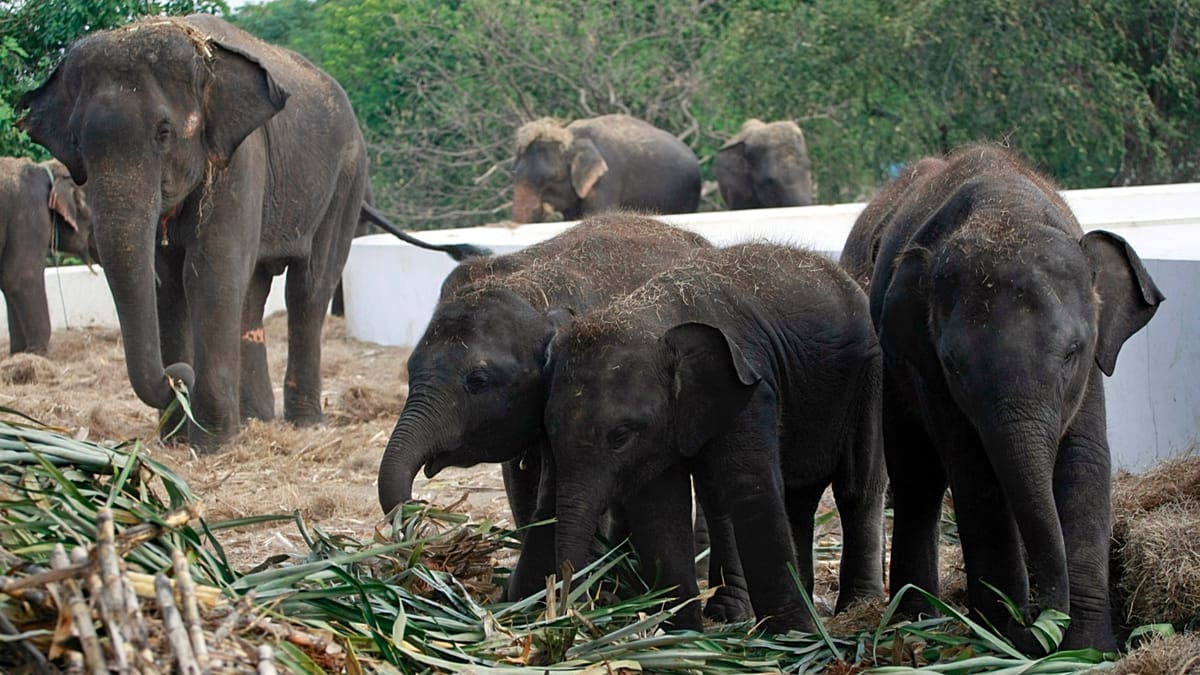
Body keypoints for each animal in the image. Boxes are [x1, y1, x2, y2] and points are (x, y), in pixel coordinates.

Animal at [17, 15, 483, 452]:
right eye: (77, 141)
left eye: (164, 133)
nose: (177, 379)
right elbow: (167, 284)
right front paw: (177, 441)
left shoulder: (242, 157)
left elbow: (210, 273)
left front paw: (211, 445)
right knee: (253, 294)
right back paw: (256, 419)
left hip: (346, 178)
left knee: (308, 288)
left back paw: (304, 424)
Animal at [534, 242, 888, 633]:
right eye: (548, 432)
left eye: (620, 436)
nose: (568, 613)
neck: (651, 315)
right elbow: (660, 511)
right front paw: (682, 637)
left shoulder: (753, 392)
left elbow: (751, 489)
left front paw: (795, 636)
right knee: (792, 495)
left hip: (870, 377)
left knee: (857, 487)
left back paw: (858, 608)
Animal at [839, 143, 1164, 652]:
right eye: (953, 364)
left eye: (1073, 351)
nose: (1037, 622)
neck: (1006, 207)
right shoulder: (927, 371)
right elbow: (975, 474)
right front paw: (1003, 637)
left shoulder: (1092, 372)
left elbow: (1084, 463)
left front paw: (1088, 651)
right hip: (890, 374)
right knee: (917, 477)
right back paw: (915, 620)